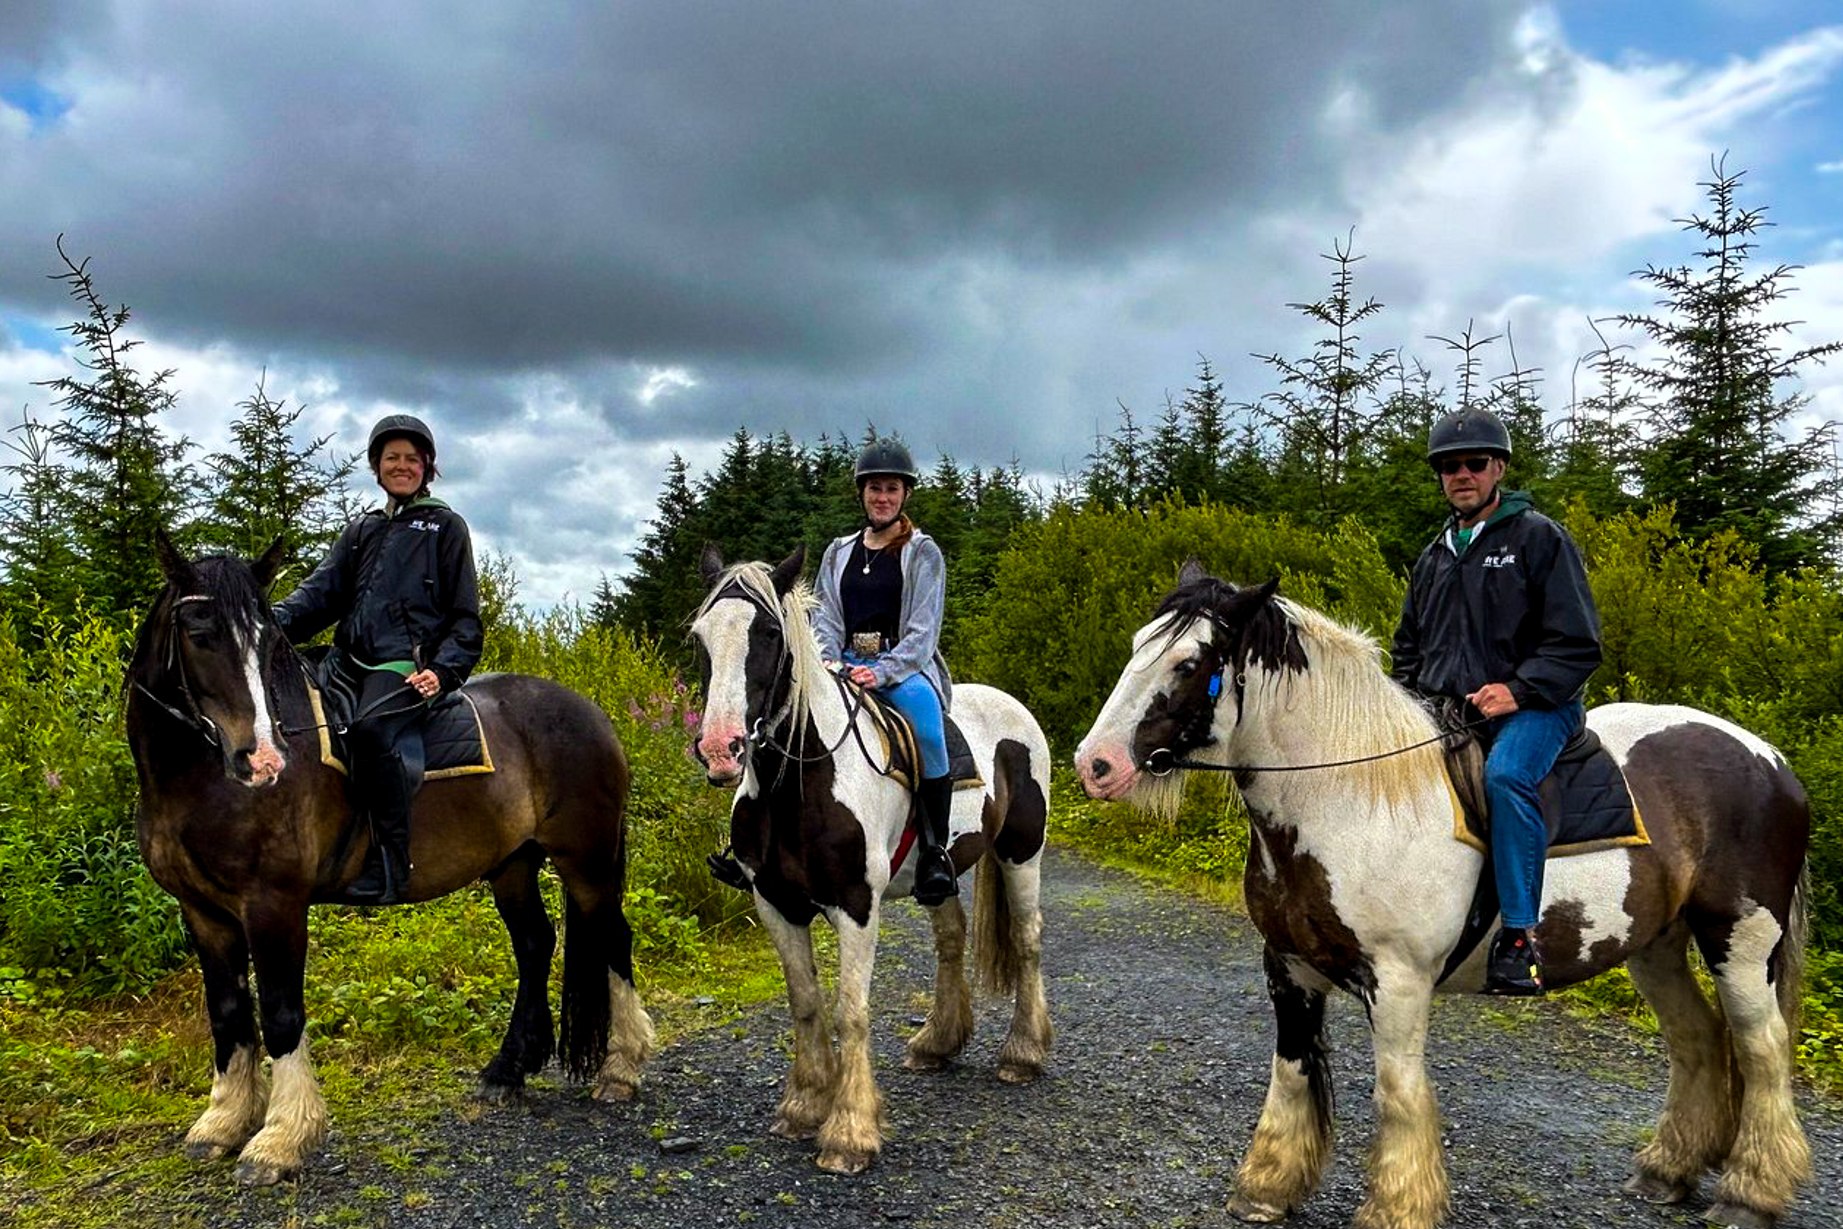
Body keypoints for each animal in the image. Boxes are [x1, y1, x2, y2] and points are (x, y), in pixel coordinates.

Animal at [692, 545, 1061, 1171]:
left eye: (768, 632)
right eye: (701, 637)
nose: (721, 749)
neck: (802, 783)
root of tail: (1014, 708)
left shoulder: (856, 906)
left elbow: (851, 1011)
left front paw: (849, 1131)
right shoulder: (775, 904)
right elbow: (806, 1004)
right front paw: (803, 1106)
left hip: (1021, 852)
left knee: (1028, 940)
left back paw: (1022, 1054)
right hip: (940, 873)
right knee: (951, 939)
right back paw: (937, 1043)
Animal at [1076, 567, 1806, 1229]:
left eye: (1189, 661)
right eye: (1139, 643)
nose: (1094, 764)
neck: (1352, 798)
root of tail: (1768, 757)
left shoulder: (1397, 980)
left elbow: (1397, 1094)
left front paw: (1395, 1208)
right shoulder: (1287, 966)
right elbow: (1290, 1072)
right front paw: (1265, 1186)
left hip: (1740, 941)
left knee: (1762, 1047)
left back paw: (1750, 1194)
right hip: (1654, 944)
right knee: (1696, 1038)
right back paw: (1666, 1171)